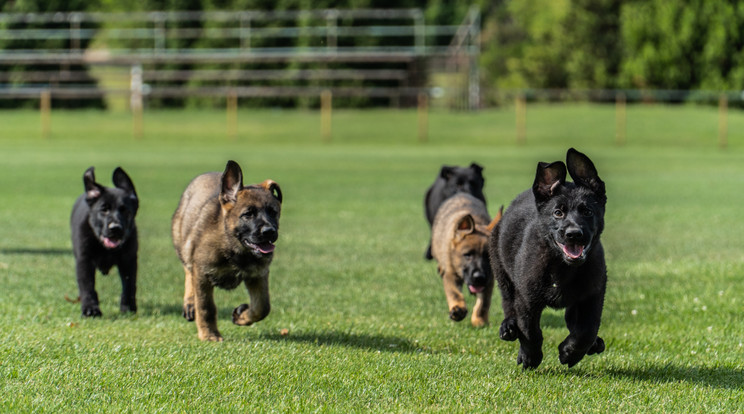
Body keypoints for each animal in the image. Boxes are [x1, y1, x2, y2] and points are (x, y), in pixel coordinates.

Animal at [71, 167, 140, 316]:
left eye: (126, 211)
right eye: (104, 209)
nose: (115, 228)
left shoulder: (129, 260)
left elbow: (129, 285)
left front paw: (128, 307)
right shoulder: (84, 260)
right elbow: (87, 286)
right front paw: (90, 309)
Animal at [171, 160, 282, 342]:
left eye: (273, 213)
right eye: (248, 214)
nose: (269, 232)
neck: (235, 251)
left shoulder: (258, 275)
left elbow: (263, 306)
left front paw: (242, 316)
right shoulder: (202, 274)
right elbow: (205, 306)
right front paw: (209, 334)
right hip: (183, 245)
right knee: (188, 270)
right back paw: (189, 303)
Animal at [430, 192, 500, 328]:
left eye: (488, 256)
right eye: (467, 255)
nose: (479, 277)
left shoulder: (489, 279)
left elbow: (484, 303)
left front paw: (479, 320)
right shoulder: (451, 274)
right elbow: (454, 293)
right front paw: (458, 309)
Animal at [492, 149, 608, 368]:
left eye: (588, 211)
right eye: (558, 212)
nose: (573, 234)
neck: (562, 268)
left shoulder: (593, 295)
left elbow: (586, 331)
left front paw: (570, 353)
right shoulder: (526, 299)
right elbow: (530, 331)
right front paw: (530, 357)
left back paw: (594, 344)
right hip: (501, 270)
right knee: (508, 303)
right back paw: (508, 327)